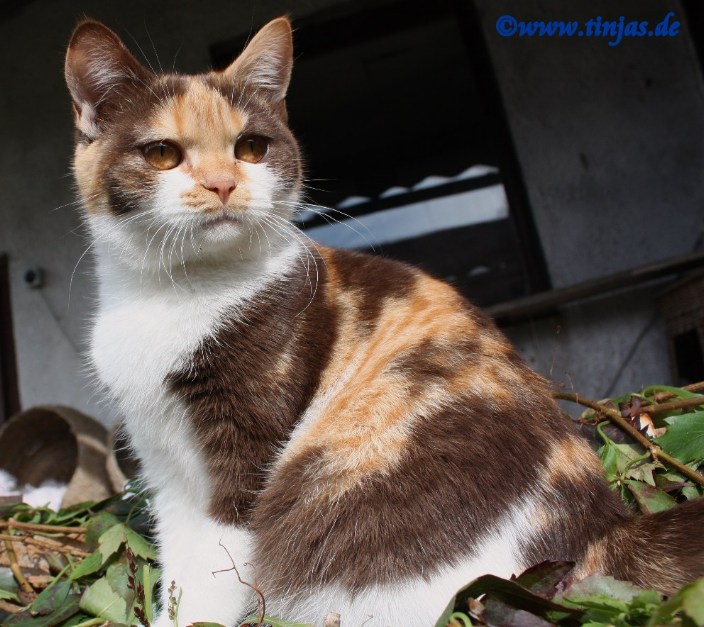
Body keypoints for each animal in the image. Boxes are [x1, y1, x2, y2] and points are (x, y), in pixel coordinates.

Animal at [64, 16, 704, 627]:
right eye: (162, 154)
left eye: (251, 147)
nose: (223, 183)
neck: (171, 294)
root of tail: (606, 531)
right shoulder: (163, 468)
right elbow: (179, 567)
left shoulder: (246, 458)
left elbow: (214, 573)